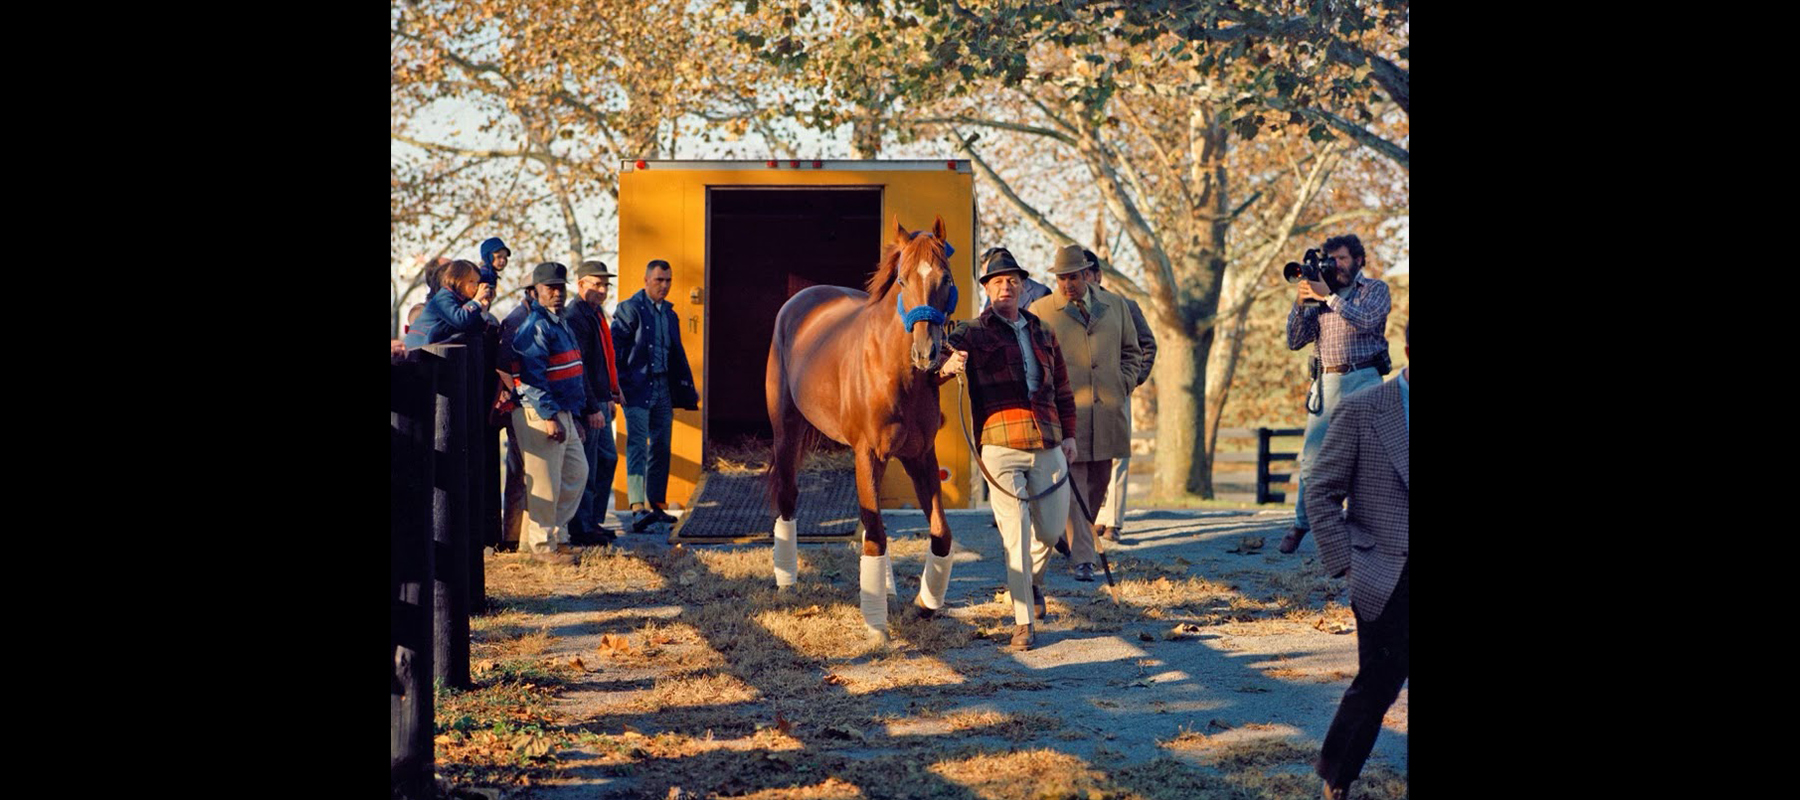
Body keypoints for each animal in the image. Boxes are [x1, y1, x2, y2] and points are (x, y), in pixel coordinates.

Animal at [765, 216, 961, 644]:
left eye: (945, 278)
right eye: (902, 280)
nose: (927, 354)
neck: (894, 371)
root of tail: (802, 300)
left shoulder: (920, 456)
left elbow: (939, 533)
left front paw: (925, 604)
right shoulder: (867, 454)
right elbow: (875, 535)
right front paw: (876, 625)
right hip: (786, 430)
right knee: (788, 496)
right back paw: (787, 582)